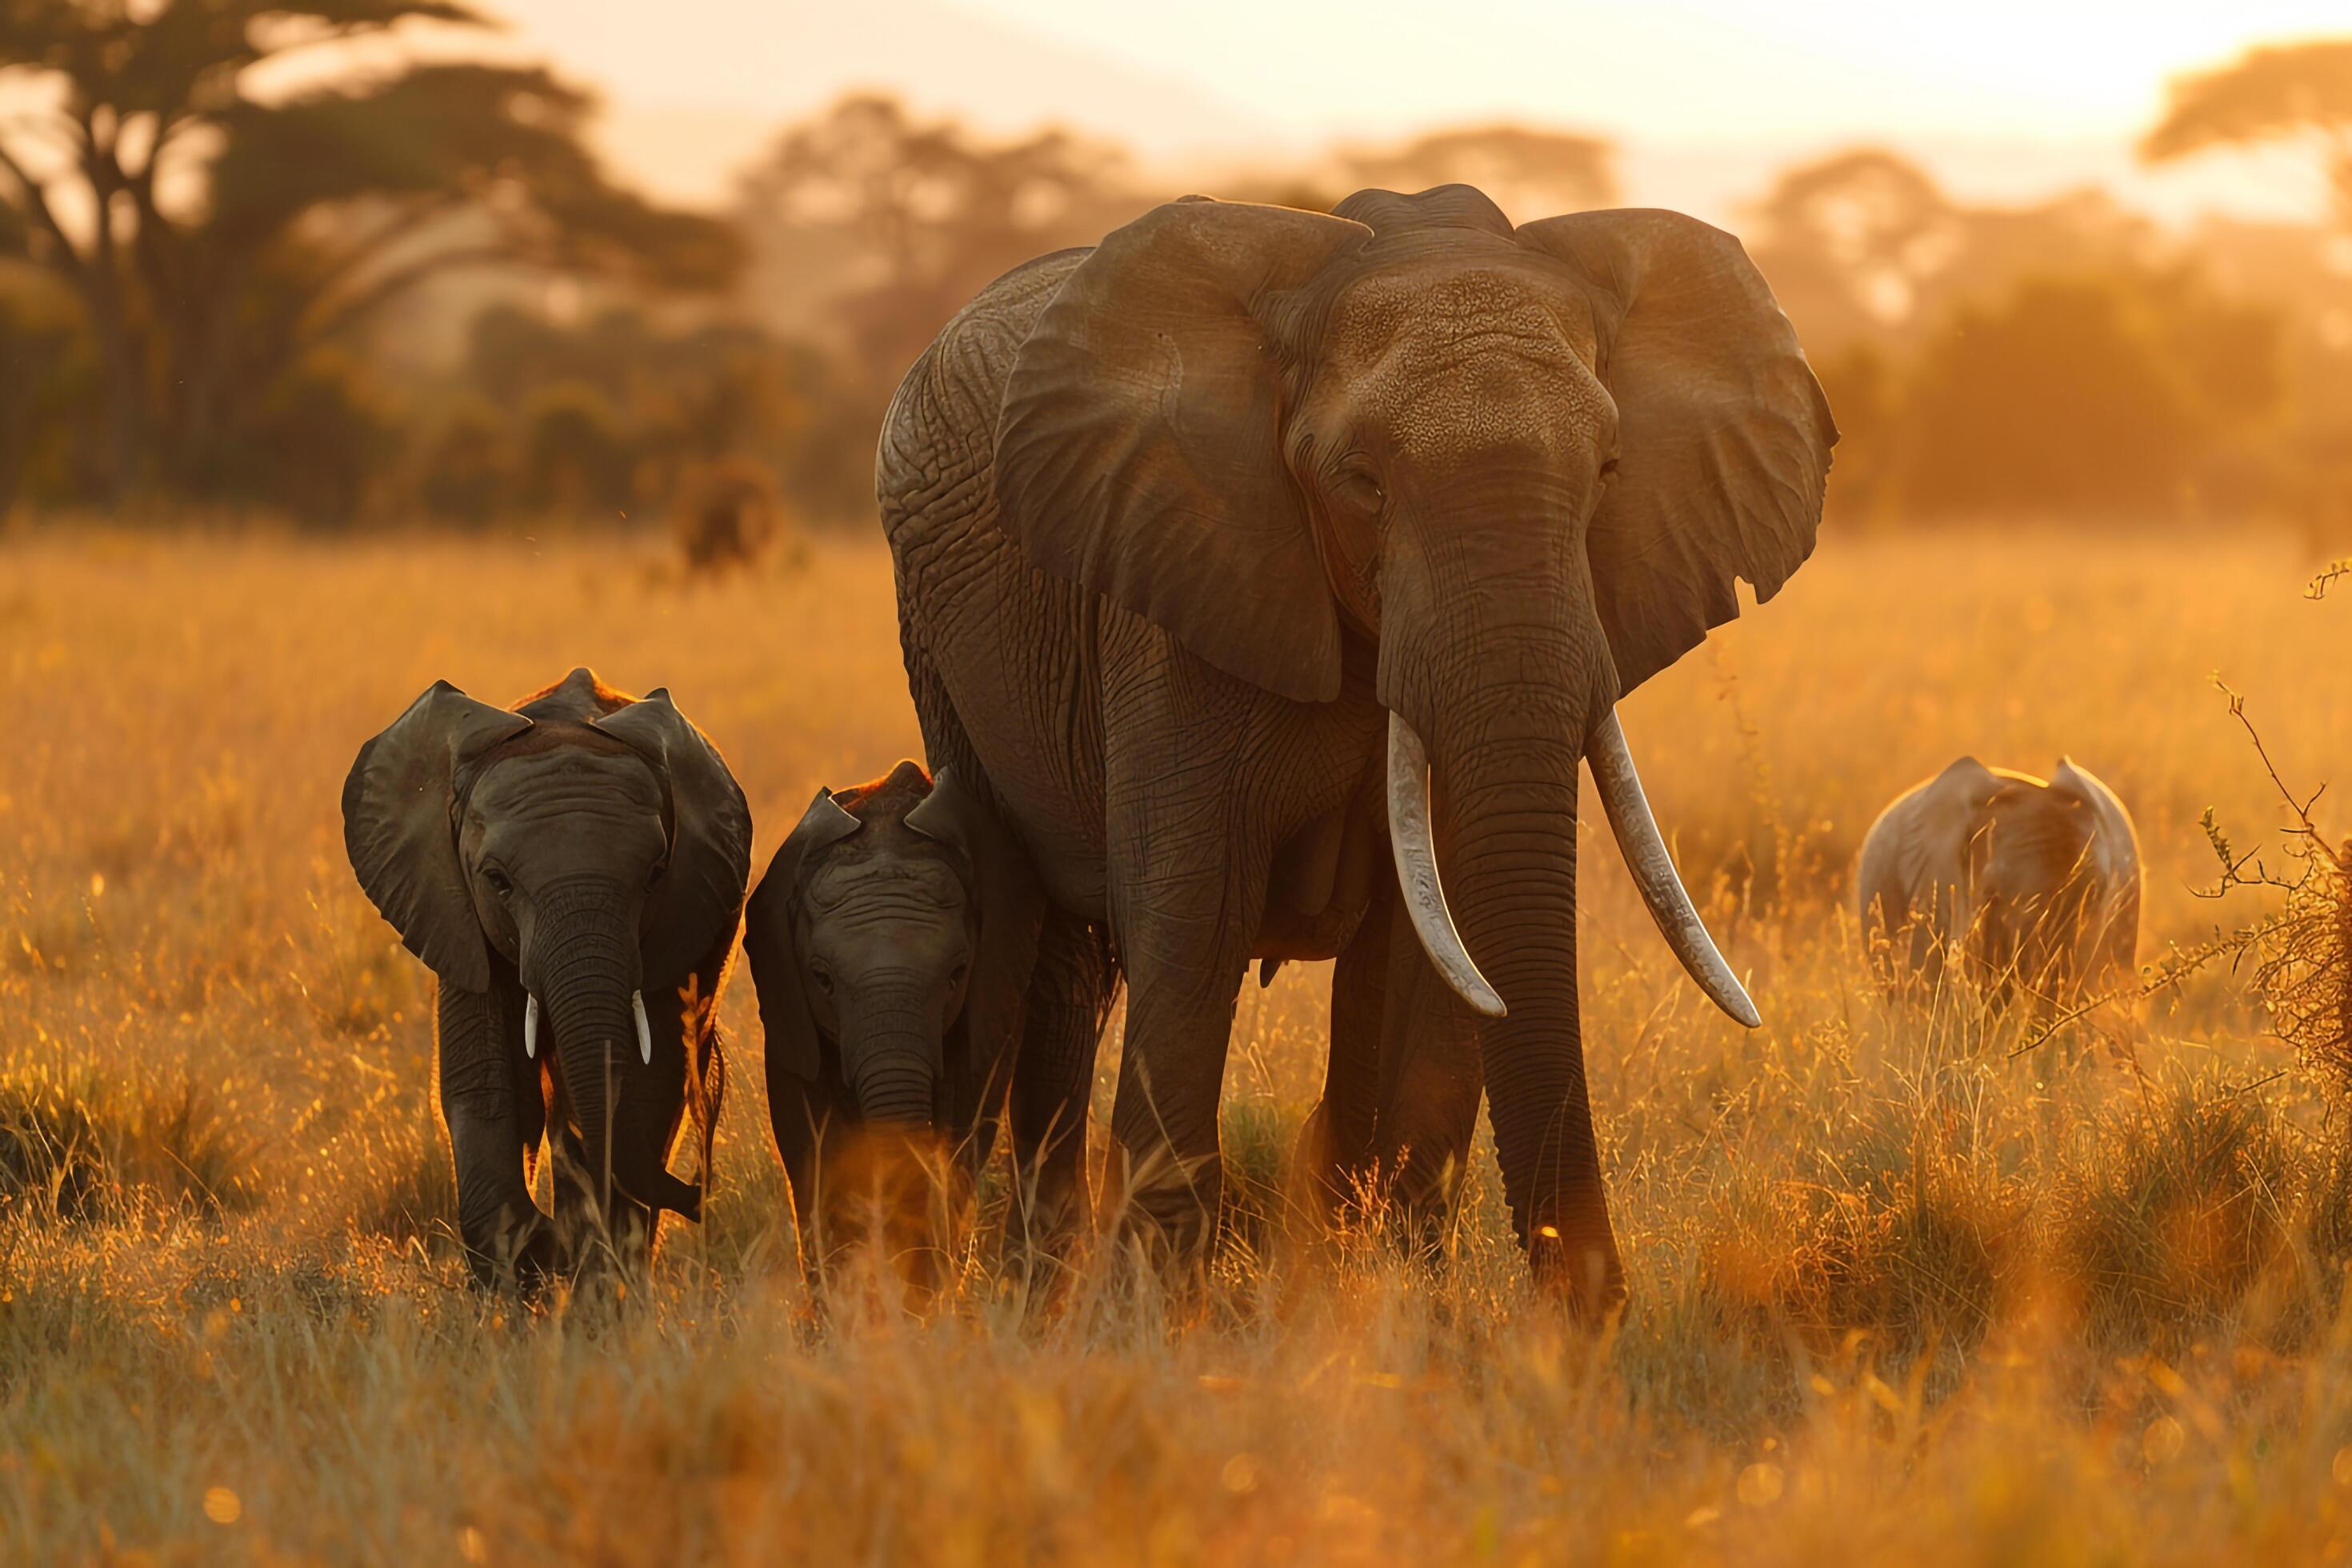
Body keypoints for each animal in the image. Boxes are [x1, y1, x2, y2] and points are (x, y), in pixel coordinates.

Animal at [884, 184, 1834, 1316]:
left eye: (1607, 471)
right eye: (1364, 481)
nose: (1598, 1308)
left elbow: (1444, 949)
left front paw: (1404, 1321)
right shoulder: (1170, 597)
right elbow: (1195, 917)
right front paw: (1153, 1327)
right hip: (940, 653)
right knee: (1051, 948)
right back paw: (1032, 1298)